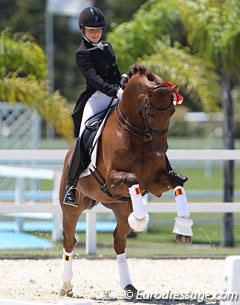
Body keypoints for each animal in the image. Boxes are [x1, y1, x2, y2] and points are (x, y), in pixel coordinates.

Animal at [59, 64, 192, 296]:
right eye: (149, 111)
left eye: (172, 111)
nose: (161, 150)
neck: (136, 132)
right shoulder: (113, 180)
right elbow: (132, 179)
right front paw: (140, 220)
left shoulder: (156, 182)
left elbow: (177, 182)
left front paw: (183, 229)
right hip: (72, 208)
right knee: (69, 240)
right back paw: (65, 285)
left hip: (120, 208)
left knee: (119, 241)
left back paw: (128, 285)